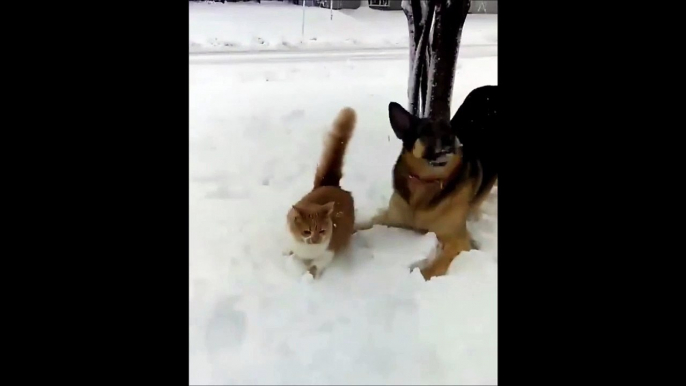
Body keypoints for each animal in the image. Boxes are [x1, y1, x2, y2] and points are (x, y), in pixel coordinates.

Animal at [286, 107, 358, 278]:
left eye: (322, 231)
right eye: (307, 232)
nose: (316, 240)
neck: (307, 250)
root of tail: (331, 184)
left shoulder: (328, 252)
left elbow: (314, 267)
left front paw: (307, 277)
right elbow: (294, 255)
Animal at [360, 85, 500, 280]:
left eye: (451, 131)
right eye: (427, 132)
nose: (450, 139)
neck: (426, 182)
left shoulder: (457, 239)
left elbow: (436, 266)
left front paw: (418, 275)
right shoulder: (391, 217)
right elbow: (364, 223)